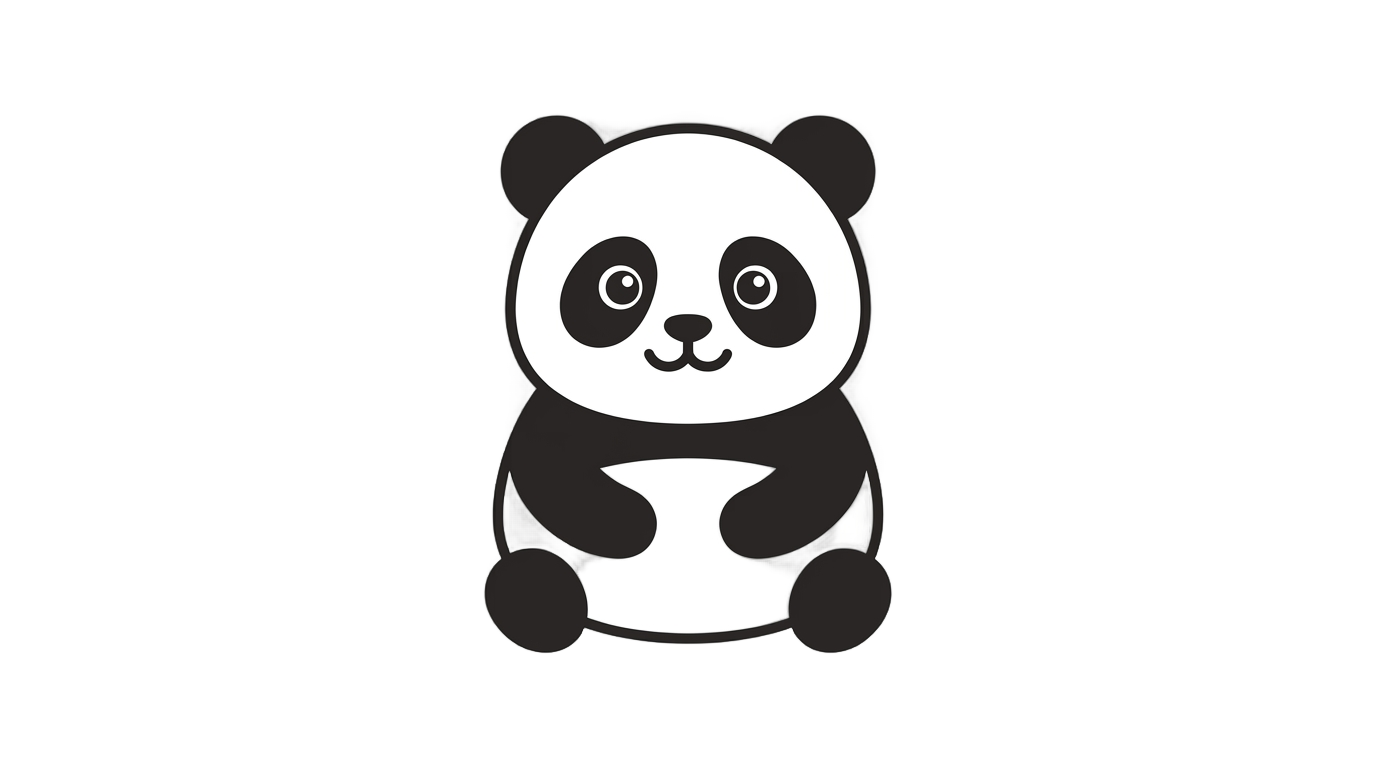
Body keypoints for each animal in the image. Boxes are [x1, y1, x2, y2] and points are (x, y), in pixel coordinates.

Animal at [483, 113, 891, 654]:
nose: (688, 327)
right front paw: (635, 523)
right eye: (620, 284)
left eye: (756, 284)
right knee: (535, 578)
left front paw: (739, 523)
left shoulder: (815, 415)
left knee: (840, 578)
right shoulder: (561, 415)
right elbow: (552, 471)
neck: (687, 417)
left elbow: (823, 470)